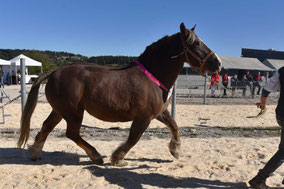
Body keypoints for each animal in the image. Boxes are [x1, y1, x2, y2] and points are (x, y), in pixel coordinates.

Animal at [17, 22, 222, 166]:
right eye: (196, 43)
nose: (218, 63)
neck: (152, 76)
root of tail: (54, 72)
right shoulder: (144, 117)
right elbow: (133, 138)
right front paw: (118, 157)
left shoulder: (159, 113)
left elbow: (174, 125)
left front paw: (176, 150)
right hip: (73, 113)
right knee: (72, 133)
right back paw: (95, 155)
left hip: (60, 111)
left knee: (46, 127)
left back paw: (35, 152)